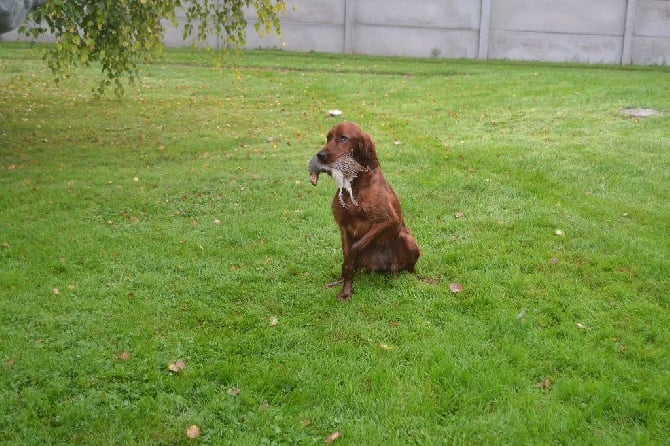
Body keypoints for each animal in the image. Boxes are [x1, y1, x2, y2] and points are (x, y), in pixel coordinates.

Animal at [310, 122, 420, 300]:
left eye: (343, 138)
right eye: (328, 137)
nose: (320, 155)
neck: (356, 184)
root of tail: (388, 268)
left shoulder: (388, 220)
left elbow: (354, 248)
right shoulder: (343, 226)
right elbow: (347, 257)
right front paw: (346, 291)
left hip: (407, 239)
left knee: (410, 268)